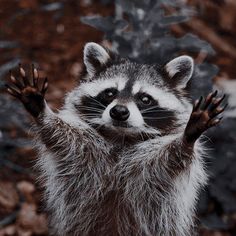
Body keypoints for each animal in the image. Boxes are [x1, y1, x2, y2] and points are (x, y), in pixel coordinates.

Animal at [6, 42, 226, 236]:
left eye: (144, 99)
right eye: (110, 93)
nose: (119, 112)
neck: (122, 137)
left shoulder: (152, 170)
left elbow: (170, 160)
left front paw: (187, 138)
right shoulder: (84, 150)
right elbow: (62, 138)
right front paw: (42, 112)